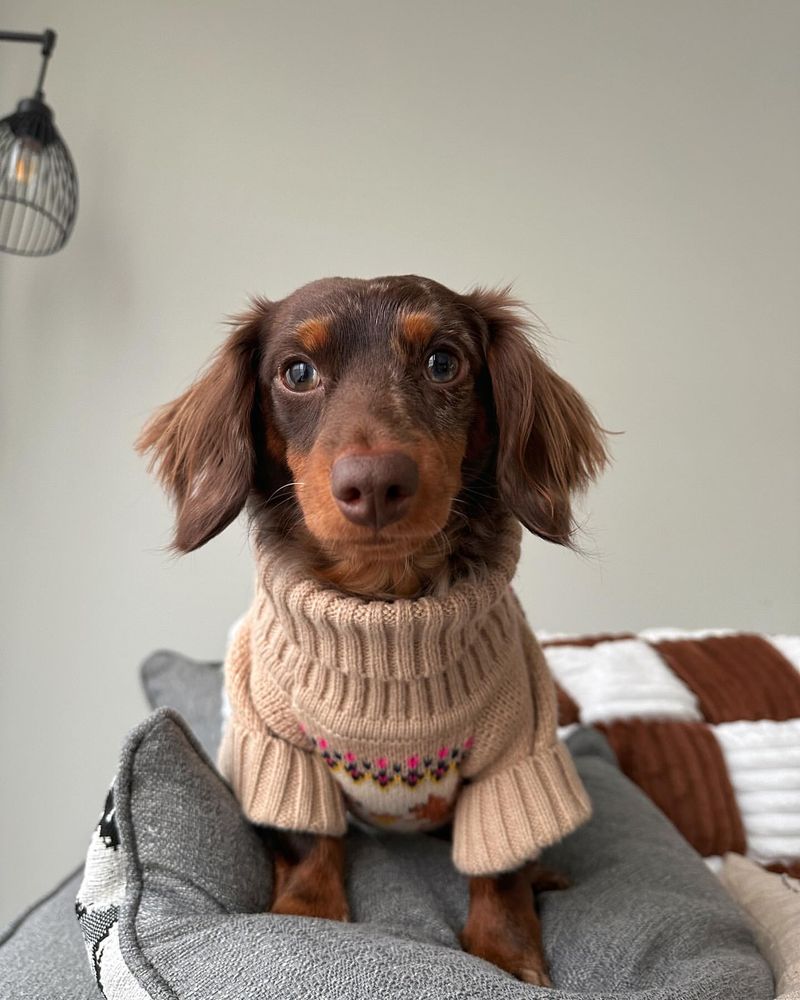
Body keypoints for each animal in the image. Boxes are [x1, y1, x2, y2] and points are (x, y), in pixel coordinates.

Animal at [138, 276, 608, 984]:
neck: (384, 619)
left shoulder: (515, 759)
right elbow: (311, 839)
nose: (376, 485)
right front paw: (307, 915)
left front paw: (505, 952)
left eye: (443, 362)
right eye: (296, 373)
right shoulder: (278, 749)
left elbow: (498, 866)